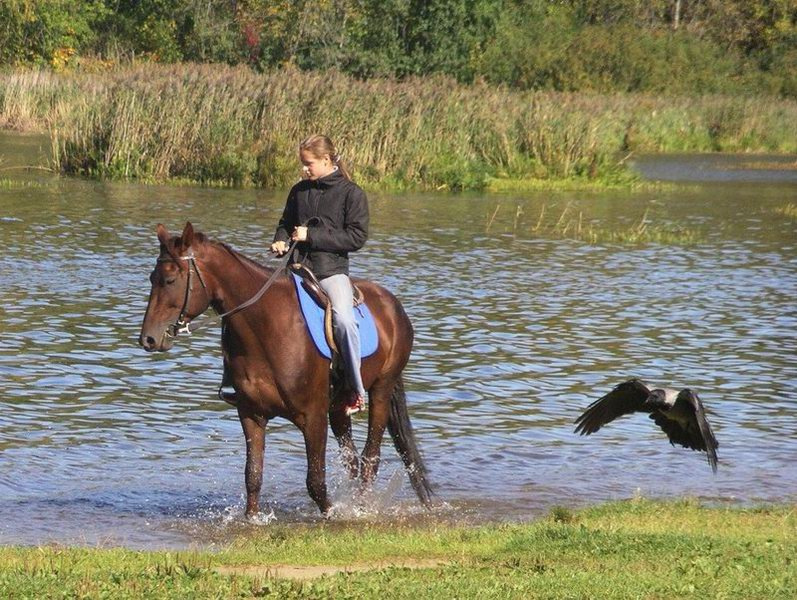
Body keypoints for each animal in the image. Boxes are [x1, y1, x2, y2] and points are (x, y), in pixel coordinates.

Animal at [138, 222, 433, 516]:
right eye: (152, 278)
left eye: (170, 280)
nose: (148, 339)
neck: (266, 328)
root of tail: (393, 305)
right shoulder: (251, 414)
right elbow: (253, 475)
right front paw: (252, 519)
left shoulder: (313, 417)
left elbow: (316, 482)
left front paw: (332, 513)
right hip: (339, 407)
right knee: (352, 461)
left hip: (381, 389)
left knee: (370, 458)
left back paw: (361, 508)